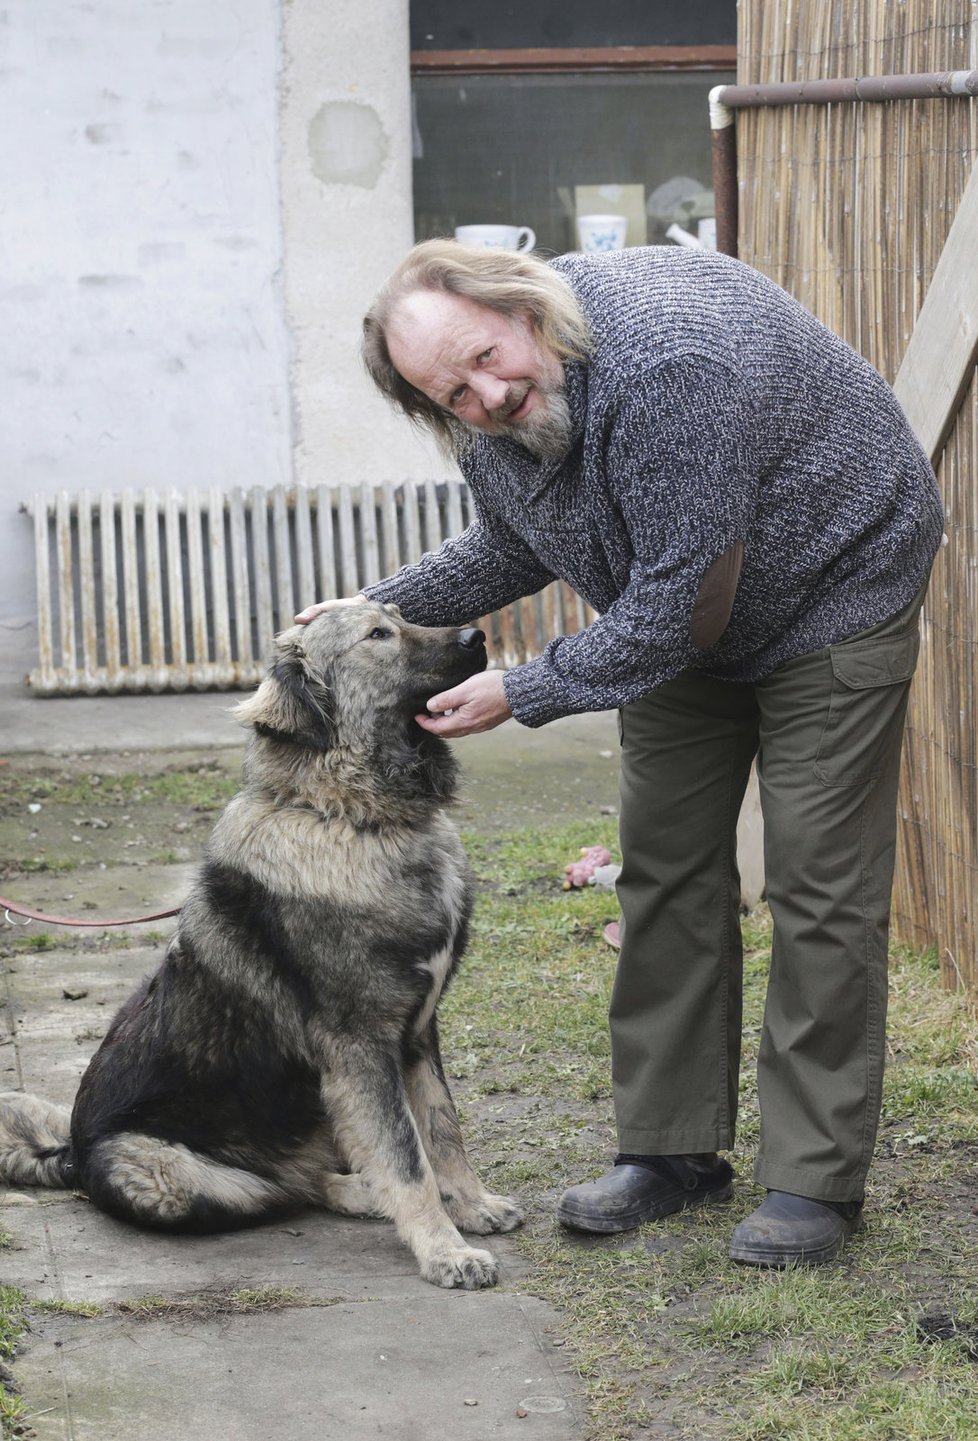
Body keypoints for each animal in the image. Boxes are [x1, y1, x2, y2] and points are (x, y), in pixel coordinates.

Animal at [0, 602, 524, 1291]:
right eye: (377, 636)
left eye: (398, 615)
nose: (477, 636)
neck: (354, 817)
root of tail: (70, 1154)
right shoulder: (361, 1046)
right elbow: (408, 1157)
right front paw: (445, 1250)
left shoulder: (415, 1033)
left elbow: (442, 1131)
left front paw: (473, 1206)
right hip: (165, 1175)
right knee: (281, 1191)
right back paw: (363, 1194)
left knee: (307, 1178)